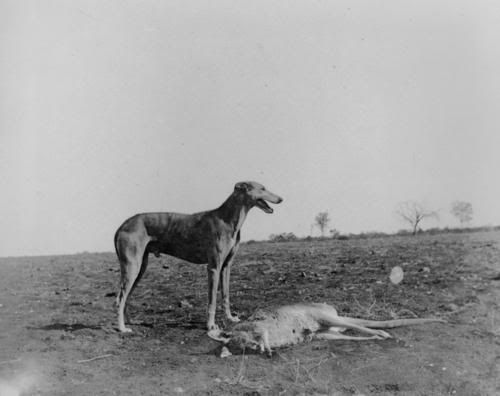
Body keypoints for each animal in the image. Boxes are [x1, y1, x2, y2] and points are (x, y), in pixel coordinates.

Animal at [114, 183, 284, 334]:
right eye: (262, 188)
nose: (281, 198)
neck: (227, 218)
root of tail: (122, 225)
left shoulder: (226, 267)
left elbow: (226, 295)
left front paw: (230, 318)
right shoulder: (213, 267)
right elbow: (212, 300)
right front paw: (211, 325)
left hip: (140, 268)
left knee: (126, 297)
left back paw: (131, 322)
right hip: (132, 267)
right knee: (120, 298)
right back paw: (122, 328)